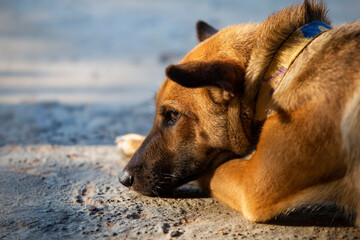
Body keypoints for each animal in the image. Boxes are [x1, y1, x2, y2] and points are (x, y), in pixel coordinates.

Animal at [117, 0, 360, 225]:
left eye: (173, 115)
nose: (122, 178)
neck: (277, 72)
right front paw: (133, 141)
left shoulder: (251, 184)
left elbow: (213, 169)